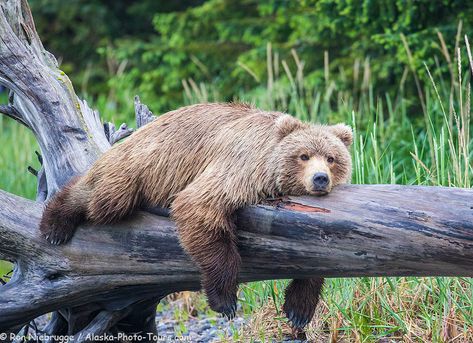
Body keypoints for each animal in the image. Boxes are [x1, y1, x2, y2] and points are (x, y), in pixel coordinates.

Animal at [39, 103, 350, 330]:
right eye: (303, 155)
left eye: (332, 158)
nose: (320, 179)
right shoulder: (241, 168)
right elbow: (200, 207)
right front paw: (225, 300)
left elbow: (318, 256)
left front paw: (299, 308)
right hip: (141, 166)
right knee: (103, 198)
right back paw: (55, 224)